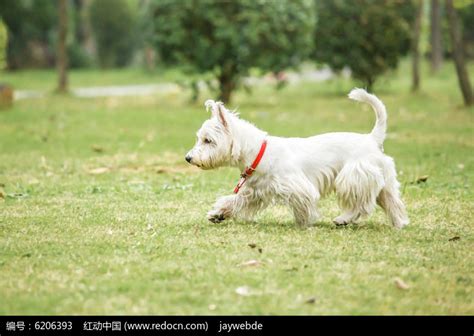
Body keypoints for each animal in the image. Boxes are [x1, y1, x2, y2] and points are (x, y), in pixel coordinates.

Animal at [187, 88, 410, 228]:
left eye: (208, 140)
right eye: (199, 138)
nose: (188, 158)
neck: (259, 152)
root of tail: (372, 138)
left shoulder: (297, 186)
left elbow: (303, 205)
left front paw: (304, 222)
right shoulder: (255, 192)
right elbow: (234, 200)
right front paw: (218, 214)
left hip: (352, 177)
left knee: (361, 205)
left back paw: (343, 219)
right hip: (382, 182)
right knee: (392, 202)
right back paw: (399, 224)